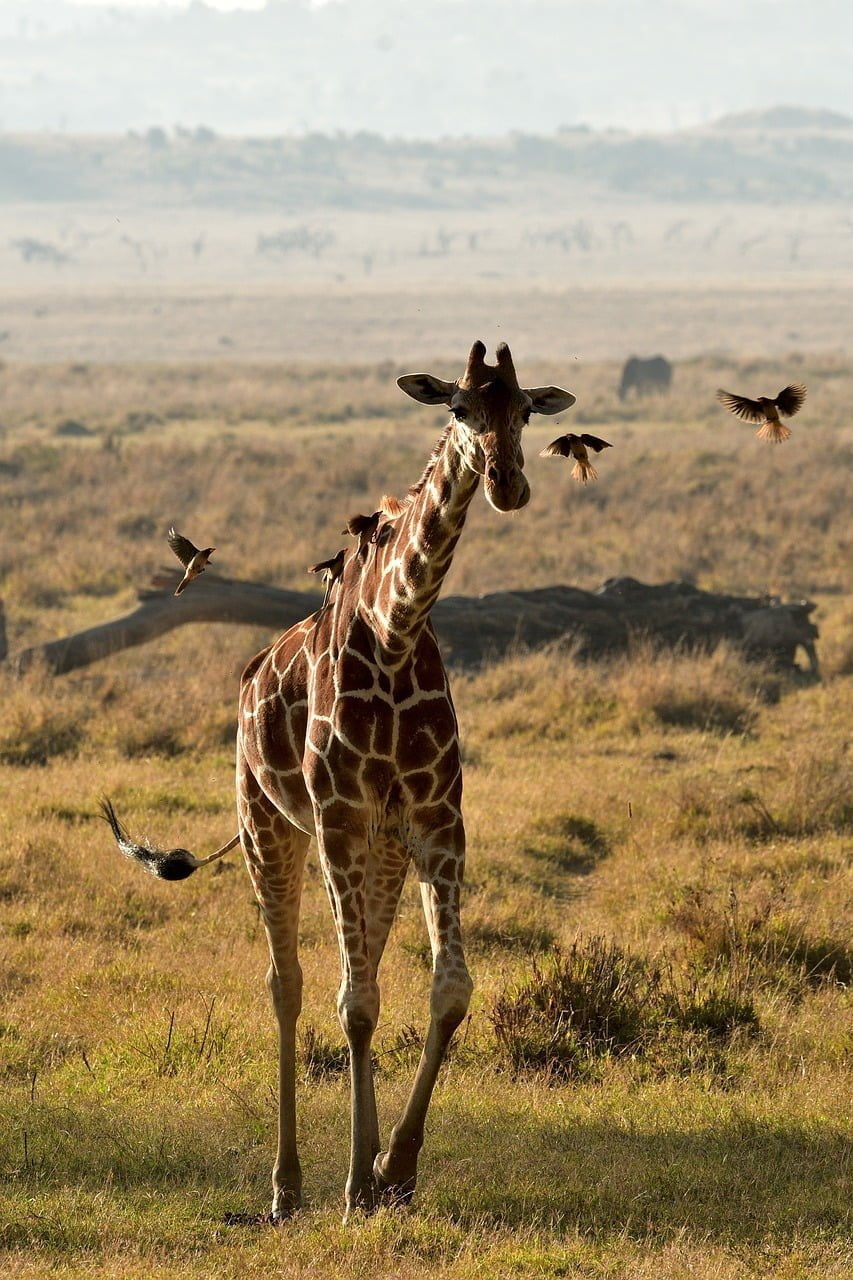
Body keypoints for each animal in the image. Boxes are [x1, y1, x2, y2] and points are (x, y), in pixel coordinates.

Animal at [103, 340, 573, 1218]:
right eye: (458, 407)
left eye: (527, 409)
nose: (506, 483)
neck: (396, 631)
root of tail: (250, 674)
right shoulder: (340, 816)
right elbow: (351, 1003)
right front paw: (357, 1179)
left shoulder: (435, 821)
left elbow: (445, 989)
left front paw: (397, 1167)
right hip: (269, 825)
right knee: (285, 983)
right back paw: (286, 1187)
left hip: (376, 849)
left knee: (366, 968)